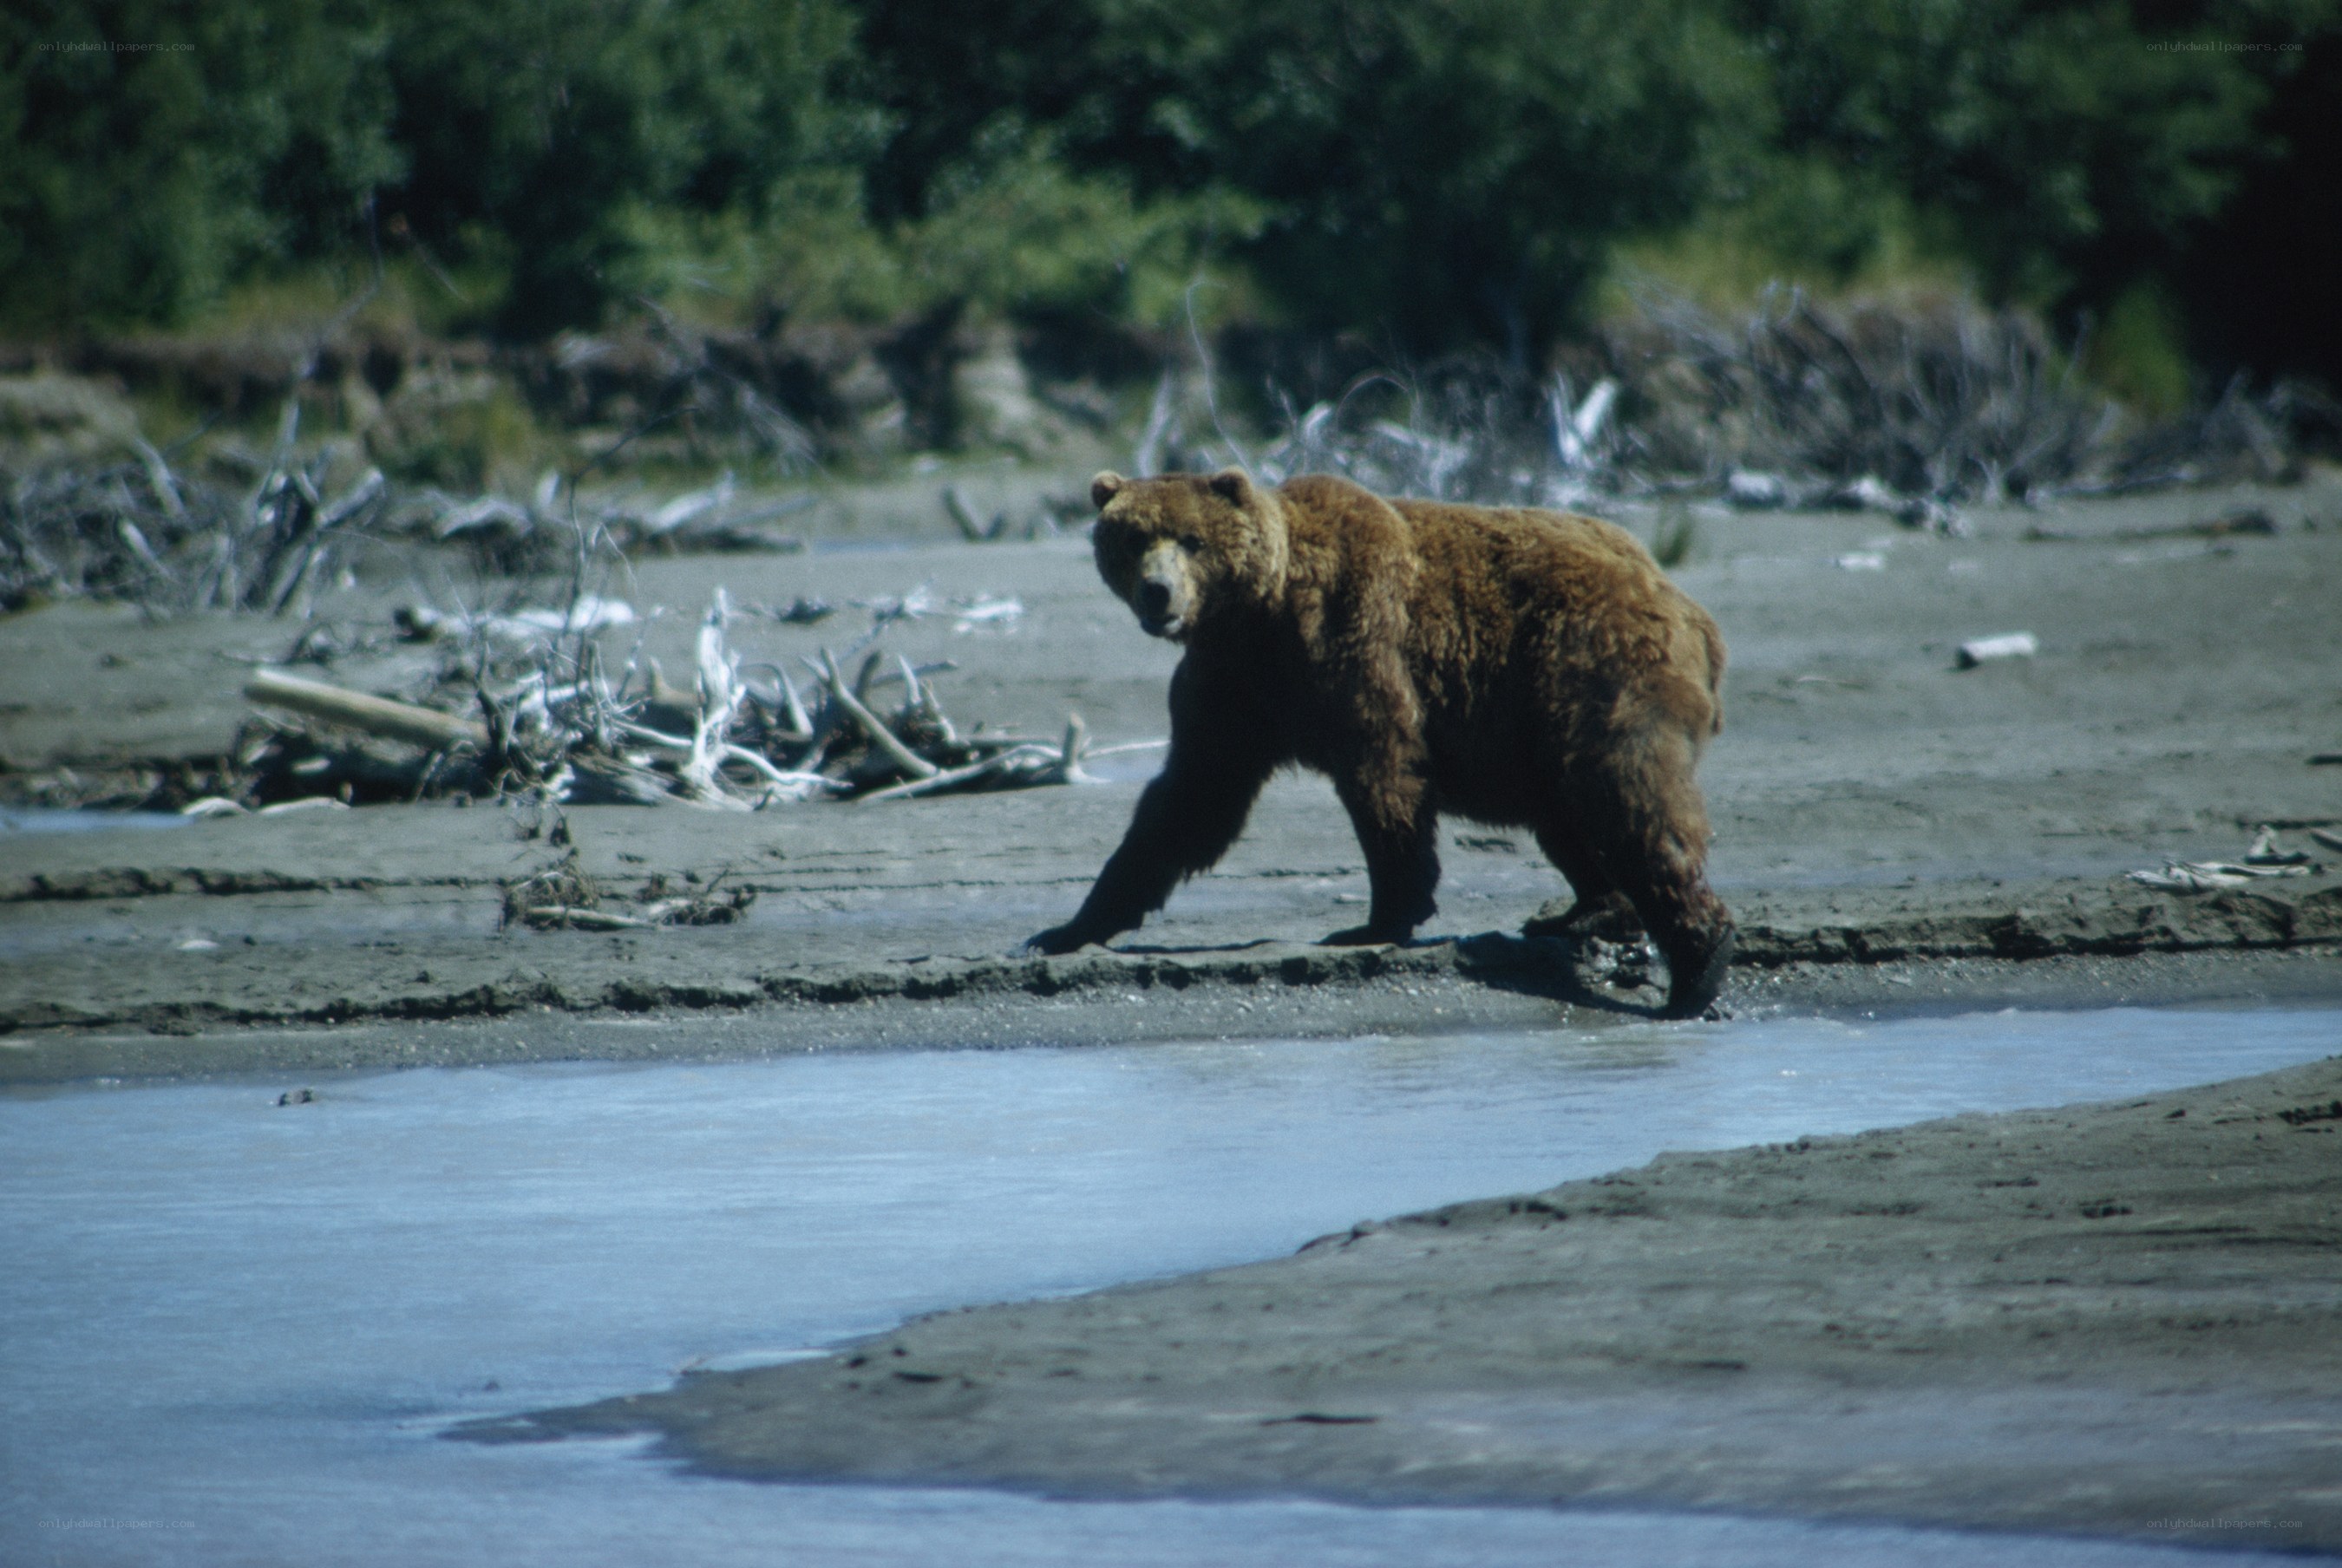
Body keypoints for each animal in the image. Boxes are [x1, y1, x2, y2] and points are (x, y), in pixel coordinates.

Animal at [1026, 467, 1734, 1018]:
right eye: (1133, 538)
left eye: (1192, 541)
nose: (1158, 591)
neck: (1261, 614)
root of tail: (1685, 602)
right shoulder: (1234, 687)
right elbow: (1188, 803)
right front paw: (1067, 927)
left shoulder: (1354, 636)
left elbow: (1383, 773)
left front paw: (1376, 919)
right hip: (1539, 721)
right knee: (1568, 812)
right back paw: (1582, 912)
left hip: (1588, 659)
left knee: (1624, 789)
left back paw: (1697, 959)